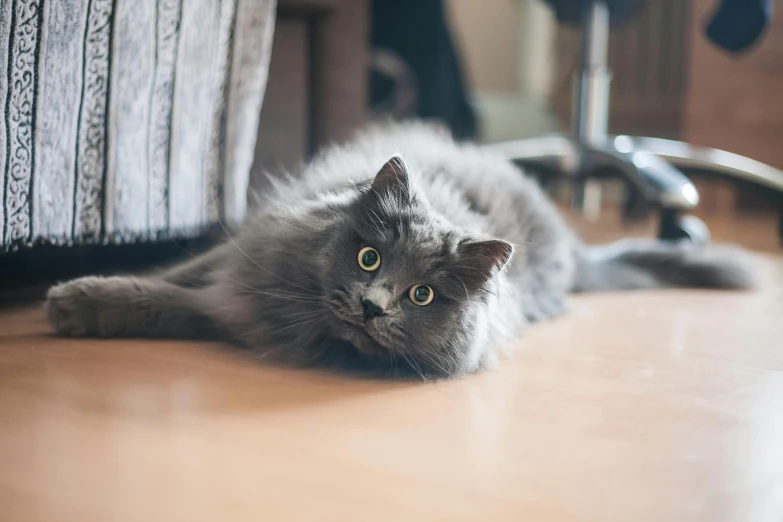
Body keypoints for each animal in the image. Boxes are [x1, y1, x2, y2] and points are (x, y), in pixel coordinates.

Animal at [46, 122, 756, 378]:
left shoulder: (239, 303)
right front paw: (75, 300)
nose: (372, 306)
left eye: (421, 295)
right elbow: (166, 282)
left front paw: (75, 305)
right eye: (369, 260)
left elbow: (172, 302)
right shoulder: (241, 262)